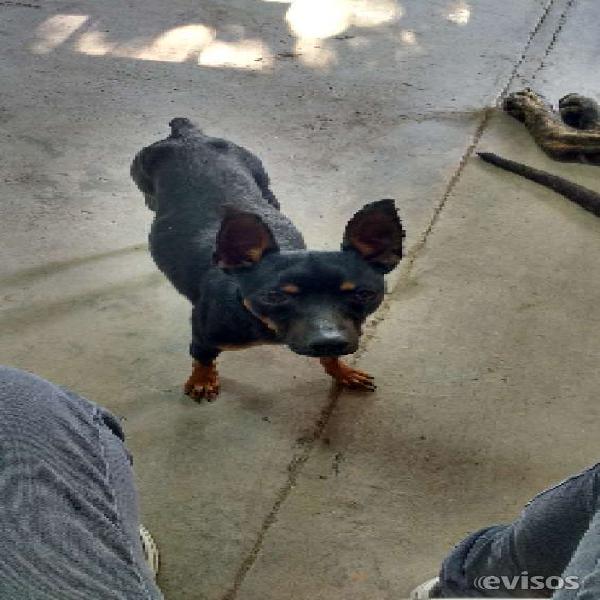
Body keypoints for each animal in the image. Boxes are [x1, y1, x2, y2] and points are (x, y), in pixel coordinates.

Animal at [131, 118, 404, 400]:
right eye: (274, 296)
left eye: (364, 295)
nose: (329, 340)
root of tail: (186, 133)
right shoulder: (204, 337)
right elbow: (202, 358)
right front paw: (202, 380)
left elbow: (330, 358)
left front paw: (342, 372)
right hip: (143, 180)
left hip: (265, 184)